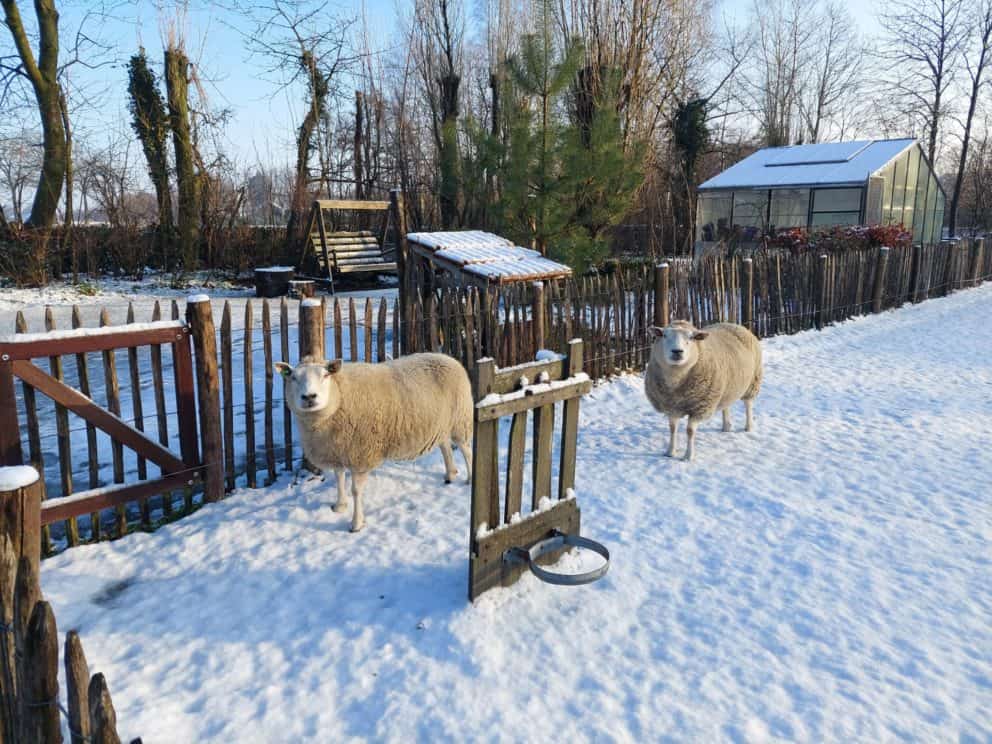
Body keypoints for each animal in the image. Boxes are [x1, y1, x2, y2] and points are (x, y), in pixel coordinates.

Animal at [272, 354, 472, 532]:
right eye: (293, 377)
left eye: (326, 375)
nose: (309, 397)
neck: (339, 399)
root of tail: (449, 358)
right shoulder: (337, 450)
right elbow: (339, 479)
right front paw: (340, 506)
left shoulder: (360, 455)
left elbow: (356, 491)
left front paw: (356, 523)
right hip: (441, 424)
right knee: (445, 446)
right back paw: (450, 474)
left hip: (460, 420)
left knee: (466, 450)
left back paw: (469, 479)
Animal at [648, 320, 764, 460]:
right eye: (664, 335)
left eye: (691, 338)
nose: (677, 351)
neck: (676, 379)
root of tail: (733, 324)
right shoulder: (671, 406)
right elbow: (672, 428)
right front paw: (670, 452)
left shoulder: (700, 408)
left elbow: (690, 431)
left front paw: (688, 456)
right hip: (726, 386)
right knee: (726, 405)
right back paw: (726, 426)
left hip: (753, 381)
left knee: (748, 405)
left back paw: (748, 426)